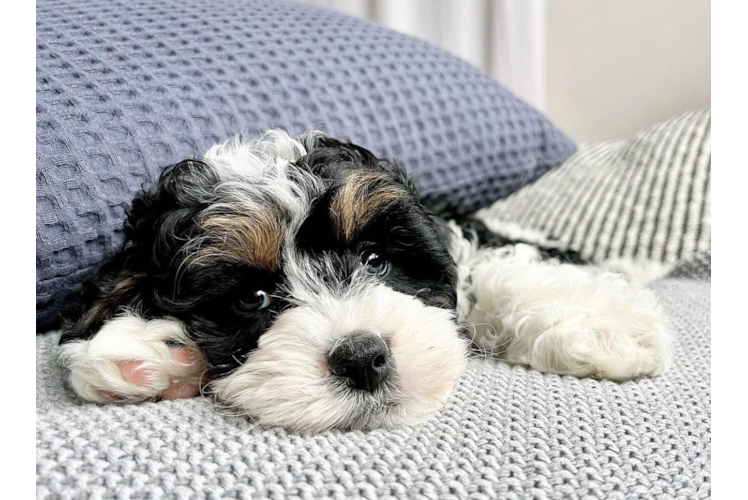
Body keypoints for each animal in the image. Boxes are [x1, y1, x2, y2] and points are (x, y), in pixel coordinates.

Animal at [55, 131, 668, 432]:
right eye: (252, 298)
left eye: (374, 261)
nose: (362, 358)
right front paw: (146, 350)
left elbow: (487, 269)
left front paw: (604, 324)